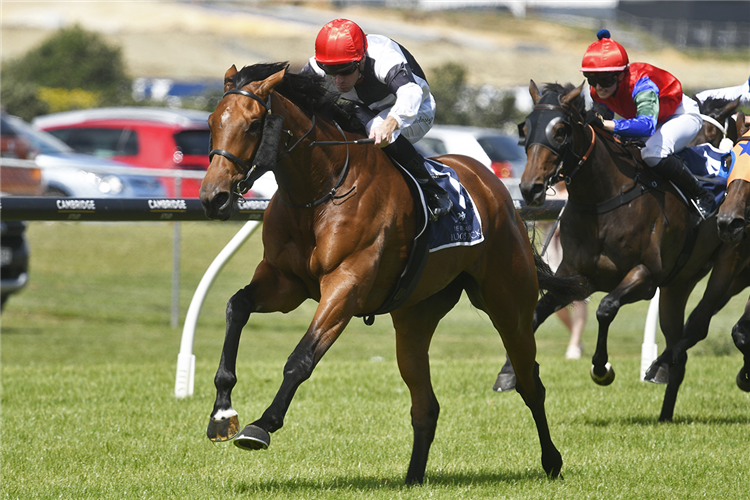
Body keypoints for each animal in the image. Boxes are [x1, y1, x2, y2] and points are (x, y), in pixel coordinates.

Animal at [200, 63, 588, 484]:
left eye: (254, 125)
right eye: (211, 122)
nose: (213, 196)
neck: (321, 190)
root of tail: (496, 189)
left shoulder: (346, 286)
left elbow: (301, 359)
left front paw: (262, 425)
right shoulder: (284, 283)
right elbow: (236, 306)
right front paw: (222, 412)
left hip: (509, 306)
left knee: (530, 382)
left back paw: (552, 461)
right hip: (415, 318)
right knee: (426, 405)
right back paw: (414, 476)